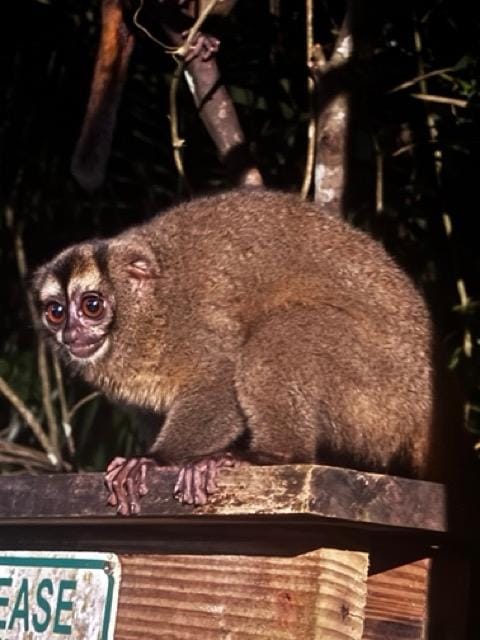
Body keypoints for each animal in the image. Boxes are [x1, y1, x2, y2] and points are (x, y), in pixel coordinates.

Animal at [33, 189, 452, 515]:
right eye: (56, 311)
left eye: (92, 305)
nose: (71, 333)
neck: (144, 317)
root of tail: (426, 401)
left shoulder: (190, 326)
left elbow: (220, 379)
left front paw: (154, 458)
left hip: (383, 385)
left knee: (279, 334)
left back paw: (272, 455)